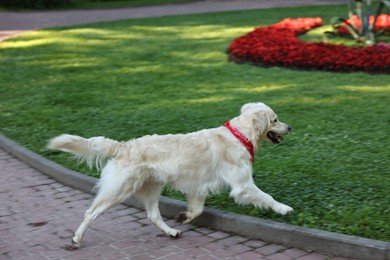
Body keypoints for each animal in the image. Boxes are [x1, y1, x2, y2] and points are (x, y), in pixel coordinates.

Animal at [48, 101, 292, 248]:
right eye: (275, 119)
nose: (290, 127)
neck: (239, 135)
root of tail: (123, 146)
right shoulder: (242, 185)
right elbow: (267, 197)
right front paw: (284, 209)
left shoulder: (198, 186)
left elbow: (197, 209)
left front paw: (184, 216)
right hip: (119, 190)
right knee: (91, 212)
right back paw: (76, 238)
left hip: (151, 187)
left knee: (153, 215)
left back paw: (172, 232)